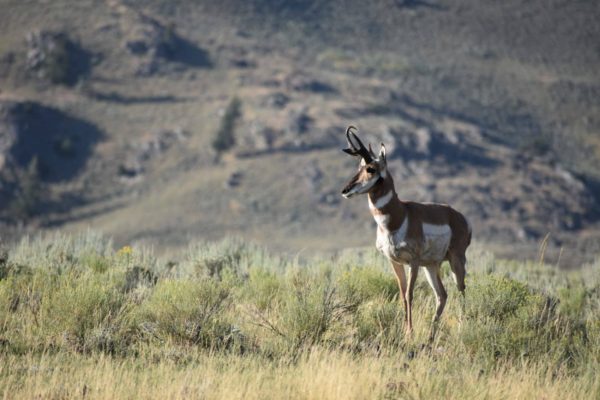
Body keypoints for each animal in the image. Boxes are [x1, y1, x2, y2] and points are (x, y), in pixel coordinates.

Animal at [340, 126, 472, 340]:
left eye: (371, 169)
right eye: (359, 166)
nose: (345, 190)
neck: (399, 215)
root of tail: (459, 217)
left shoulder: (414, 261)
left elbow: (410, 294)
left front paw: (410, 332)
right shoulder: (394, 261)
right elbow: (402, 294)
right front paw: (404, 329)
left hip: (455, 260)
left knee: (461, 290)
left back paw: (462, 328)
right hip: (432, 265)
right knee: (442, 295)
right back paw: (431, 333)